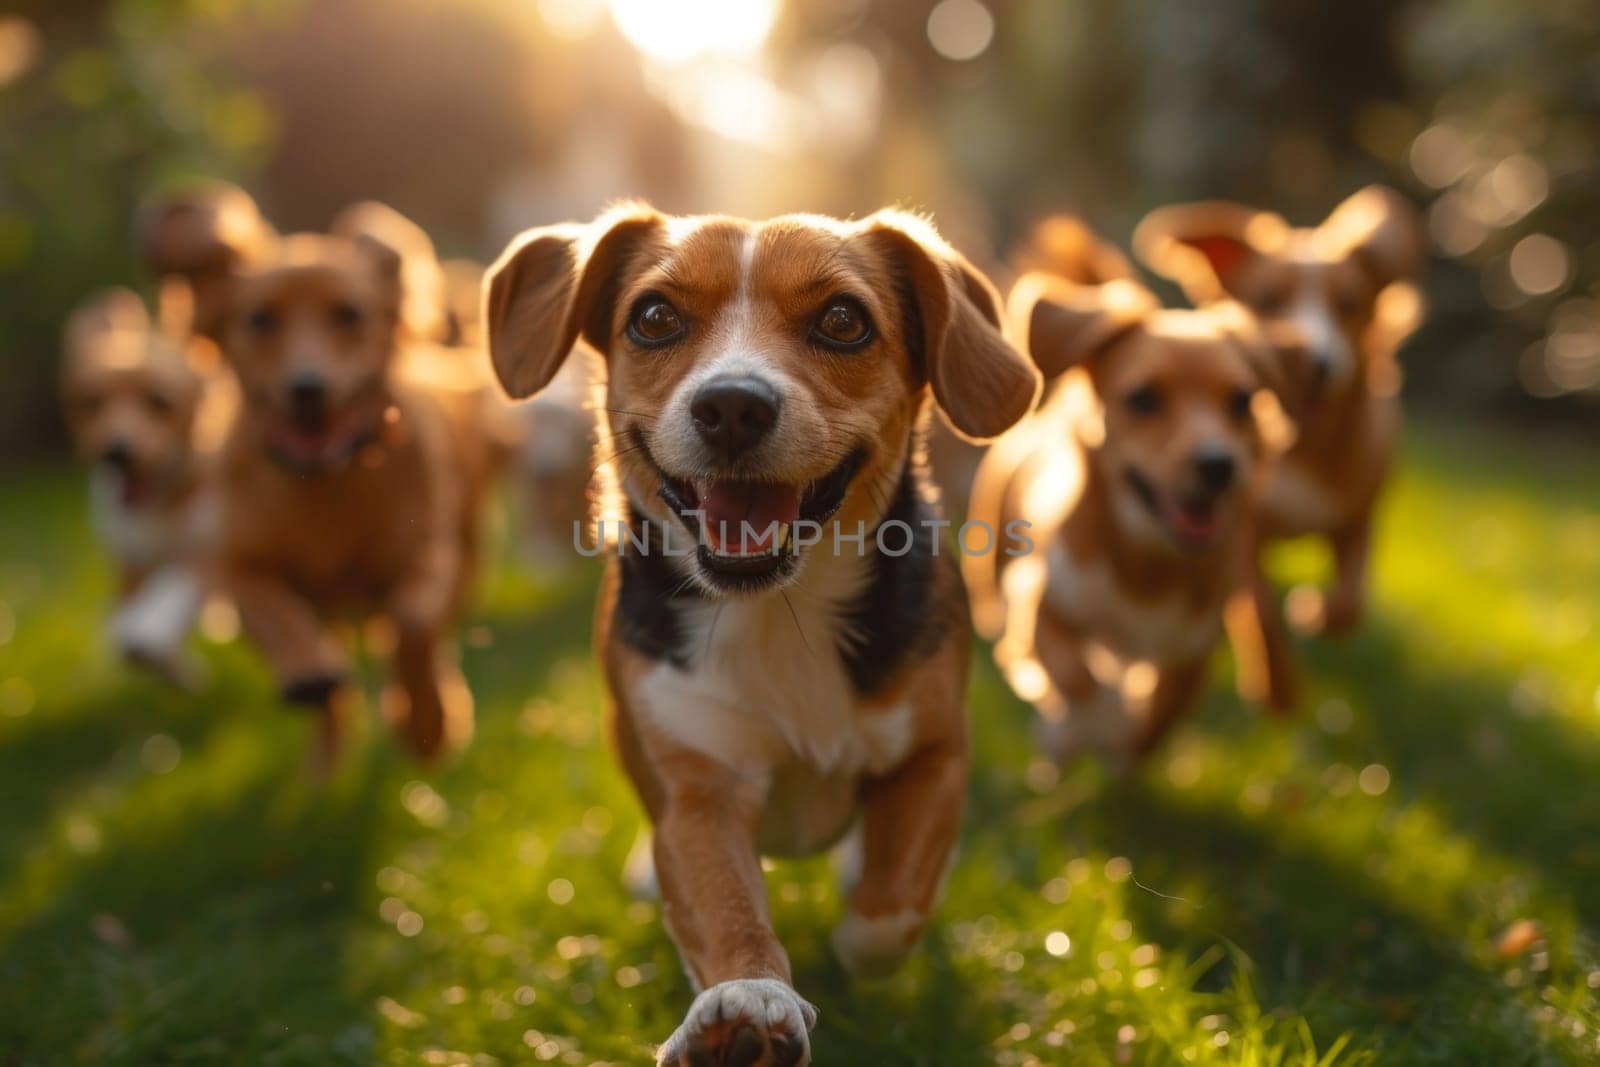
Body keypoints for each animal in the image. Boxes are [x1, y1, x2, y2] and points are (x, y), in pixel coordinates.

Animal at [59, 286, 233, 684]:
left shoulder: (211, 551)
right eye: (93, 403)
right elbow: (126, 617)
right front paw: (167, 663)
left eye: (159, 402)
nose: (116, 451)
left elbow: (171, 591)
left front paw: (150, 638)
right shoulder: (129, 557)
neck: (159, 502)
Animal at [148, 185, 505, 767]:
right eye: (261, 320)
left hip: (468, 545)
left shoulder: (426, 554)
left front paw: (426, 722)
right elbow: (274, 613)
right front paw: (309, 671)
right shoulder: (238, 566)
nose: (307, 387)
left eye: (349, 313)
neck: (325, 484)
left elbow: (413, 626)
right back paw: (325, 752)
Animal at [483, 204, 1036, 1062]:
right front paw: (749, 1008)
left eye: (843, 320)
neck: (779, 607)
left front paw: (856, 928)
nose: (733, 406)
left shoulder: (935, 753)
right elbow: (727, 908)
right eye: (654, 317)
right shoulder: (697, 791)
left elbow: (887, 914)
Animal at [960, 220, 1286, 764]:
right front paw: (1093, 722)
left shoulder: (1191, 648)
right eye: (1144, 398)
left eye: (1242, 401)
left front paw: (1122, 740)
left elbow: (1157, 721)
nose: (1218, 464)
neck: (1147, 561)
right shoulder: (1042, 600)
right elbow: (1073, 675)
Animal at [1139, 188, 1427, 713]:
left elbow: (1350, 600)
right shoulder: (1241, 531)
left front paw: (1314, 612)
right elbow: (1261, 613)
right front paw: (1278, 689)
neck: (1303, 444)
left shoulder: (1358, 516)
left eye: (1349, 303)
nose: (1316, 361)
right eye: (1269, 299)